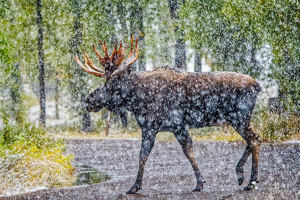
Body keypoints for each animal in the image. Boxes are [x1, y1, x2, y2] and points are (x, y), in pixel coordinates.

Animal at [75, 36, 262, 194]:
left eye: (111, 83)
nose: (88, 100)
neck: (137, 99)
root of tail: (257, 86)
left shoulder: (152, 126)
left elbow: (143, 155)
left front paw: (135, 186)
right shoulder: (178, 127)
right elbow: (189, 151)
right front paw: (200, 182)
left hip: (238, 117)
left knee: (253, 140)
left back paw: (251, 181)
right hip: (241, 119)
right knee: (255, 139)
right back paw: (240, 174)